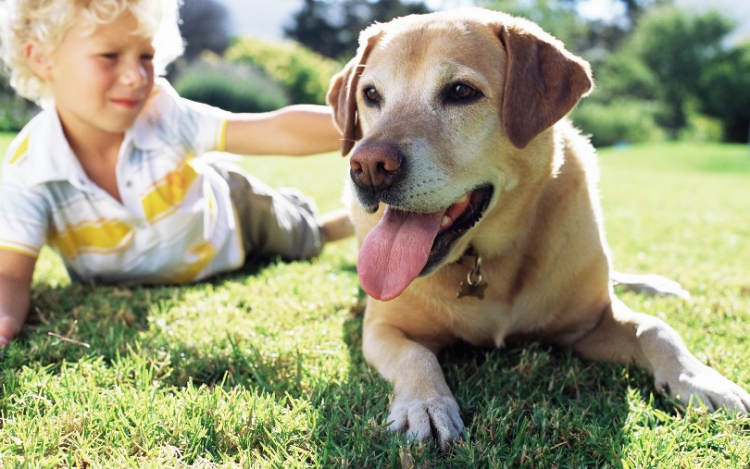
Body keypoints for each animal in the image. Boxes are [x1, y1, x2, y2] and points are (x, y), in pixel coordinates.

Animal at [326, 6, 748, 446]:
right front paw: (424, 404)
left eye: (460, 91)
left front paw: (701, 380)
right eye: (371, 95)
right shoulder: (383, 327)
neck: (486, 259)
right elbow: (415, 355)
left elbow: (655, 328)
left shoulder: (592, 323)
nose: (368, 166)